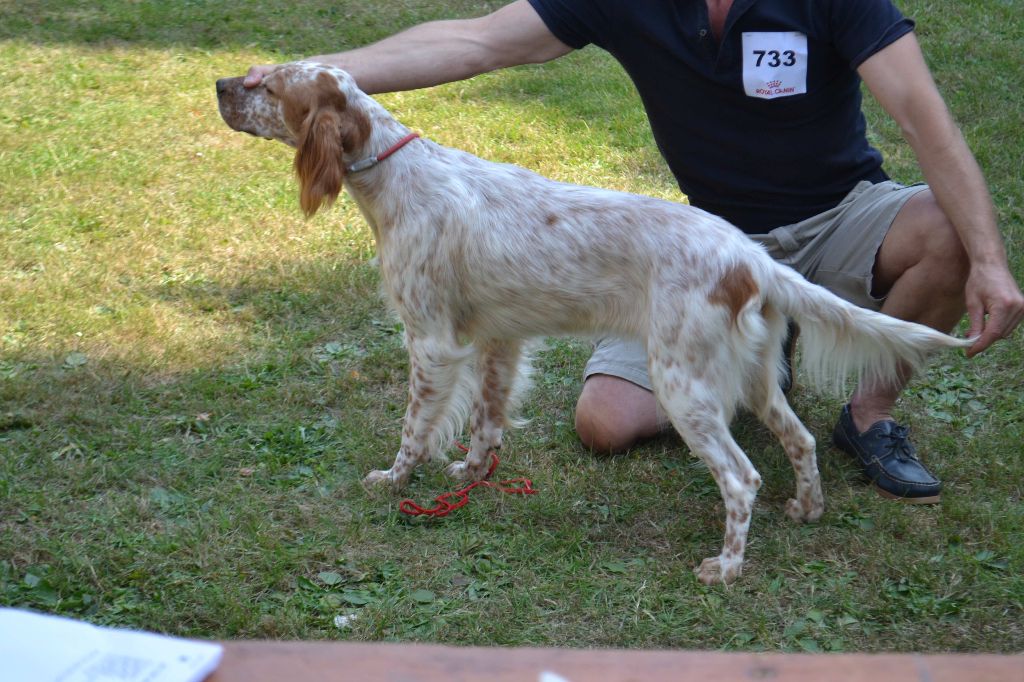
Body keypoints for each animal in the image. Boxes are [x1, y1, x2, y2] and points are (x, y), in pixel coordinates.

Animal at [216, 63, 966, 581]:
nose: (221, 82)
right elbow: (486, 421)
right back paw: (806, 510)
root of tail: (750, 257)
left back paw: (725, 567)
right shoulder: (498, 340)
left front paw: (394, 481)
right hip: (751, 376)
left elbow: (413, 430)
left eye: (268, 87)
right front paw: (470, 475)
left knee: (741, 478)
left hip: (684, 386)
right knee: (801, 440)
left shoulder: (430, 342)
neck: (397, 176)